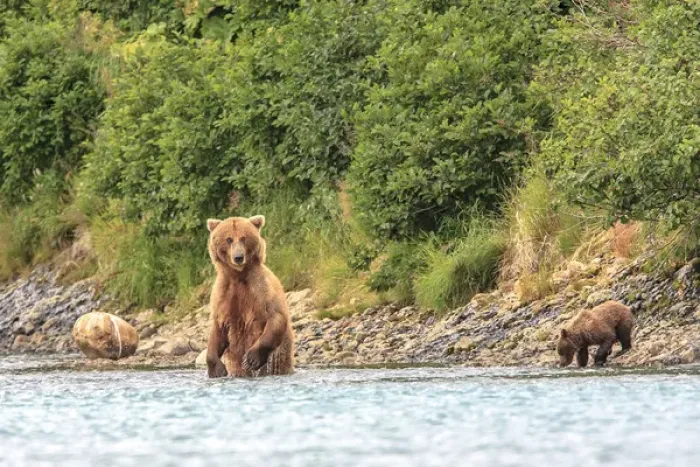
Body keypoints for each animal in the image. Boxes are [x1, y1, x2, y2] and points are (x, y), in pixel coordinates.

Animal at [205, 215, 294, 378]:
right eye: (229, 239)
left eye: (243, 238)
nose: (238, 257)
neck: (239, 276)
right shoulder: (223, 295)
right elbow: (218, 328)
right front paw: (217, 369)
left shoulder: (261, 289)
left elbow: (276, 316)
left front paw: (251, 359)